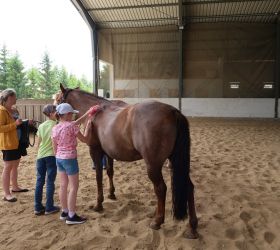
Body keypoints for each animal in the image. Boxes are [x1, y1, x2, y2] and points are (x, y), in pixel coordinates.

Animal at [55, 84, 198, 238]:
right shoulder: (109, 153)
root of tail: (173, 111)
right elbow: (110, 172)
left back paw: (157, 221)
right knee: (189, 187)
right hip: (174, 162)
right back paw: (192, 227)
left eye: (58, 99)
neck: (95, 112)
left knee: (161, 188)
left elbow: (98, 177)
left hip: (153, 165)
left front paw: (99, 204)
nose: (54, 115)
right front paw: (111, 194)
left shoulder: (95, 151)